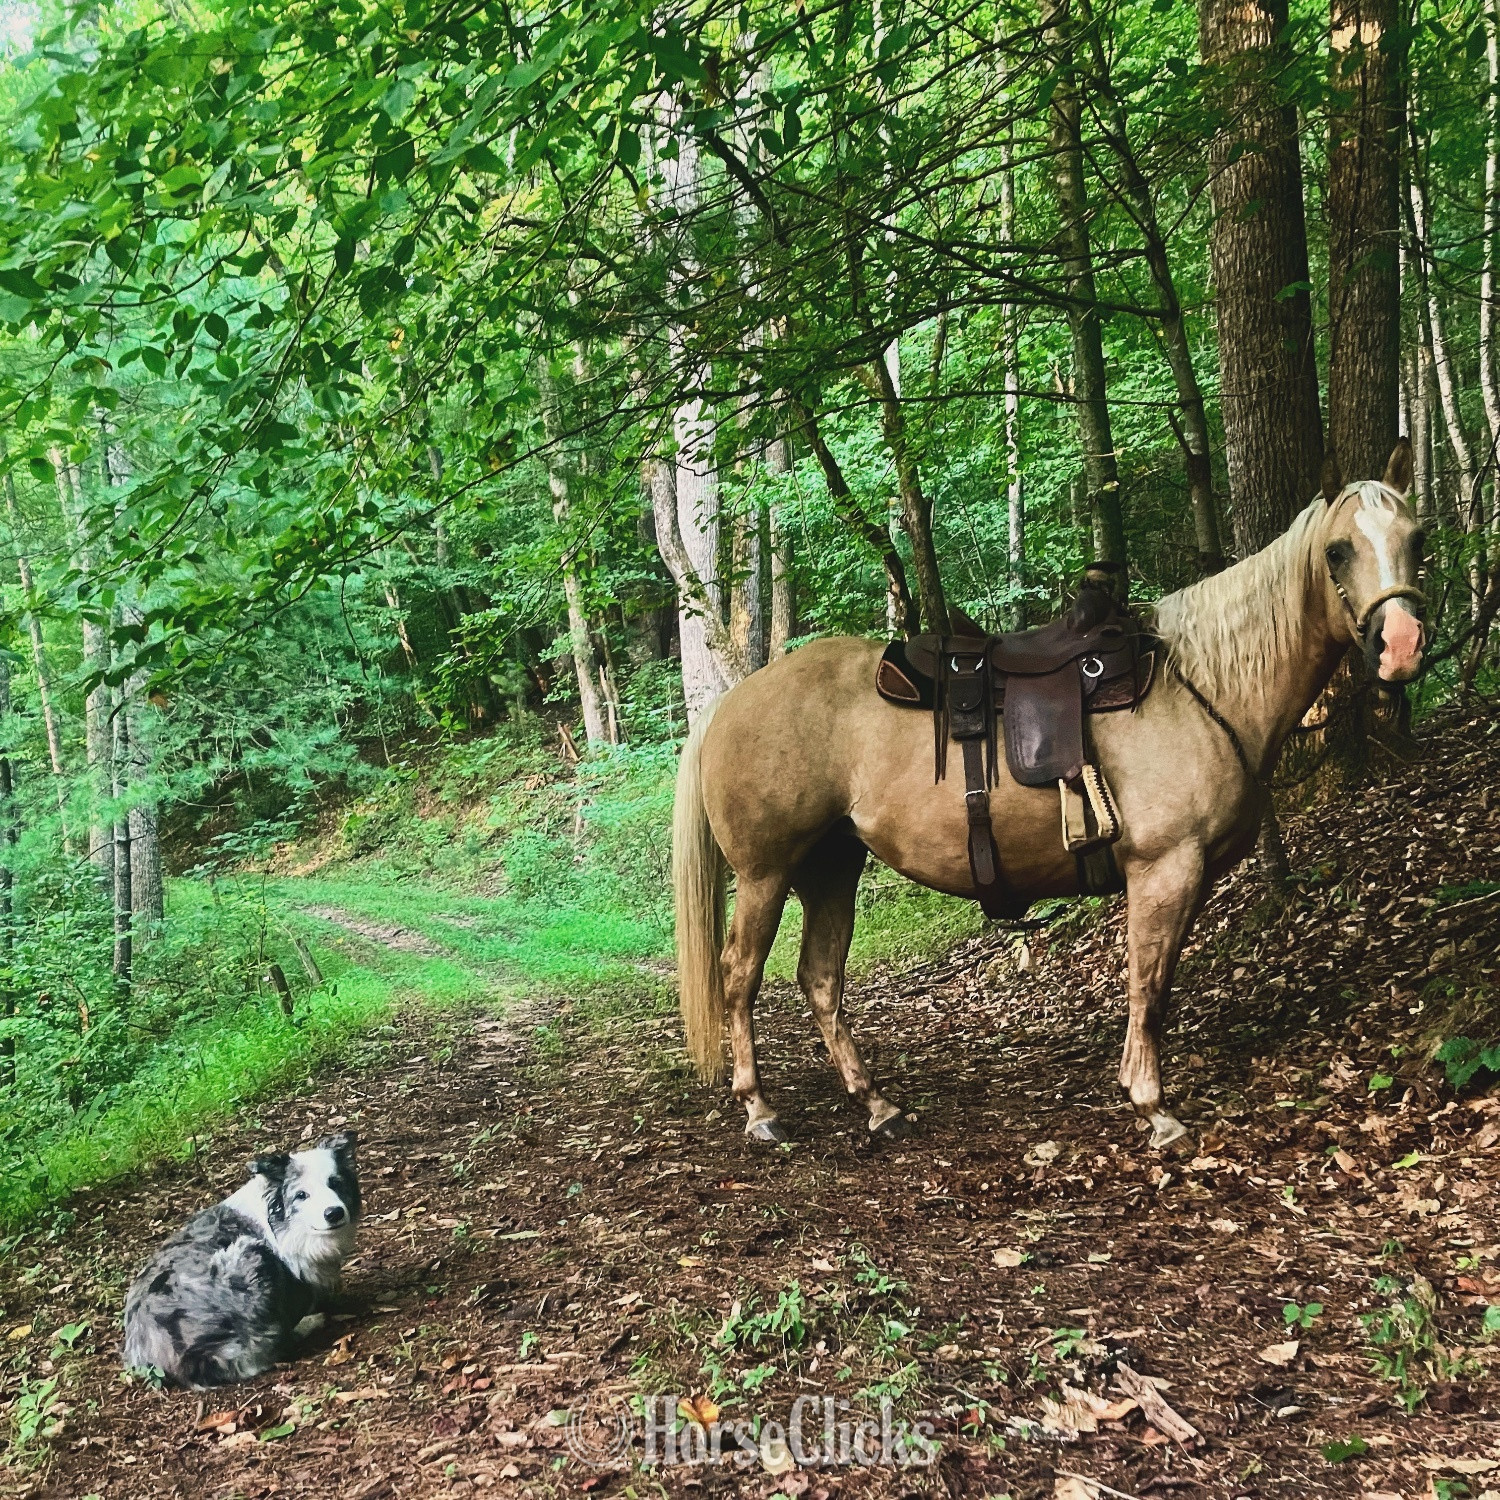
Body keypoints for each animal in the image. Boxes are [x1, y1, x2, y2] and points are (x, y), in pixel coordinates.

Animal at [672, 443, 1426, 1150]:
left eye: (1416, 539)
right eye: (1338, 549)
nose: (1403, 646)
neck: (1201, 684)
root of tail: (728, 704)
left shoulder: (1190, 876)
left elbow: (1159, 984)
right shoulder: (1164, 869)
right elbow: (1147, 983)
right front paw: (1153, 1107)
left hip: (832, 867)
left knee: (821, 979)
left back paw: (876, 1104)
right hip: (766, 874)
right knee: (739, 977)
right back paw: (759, 1109)